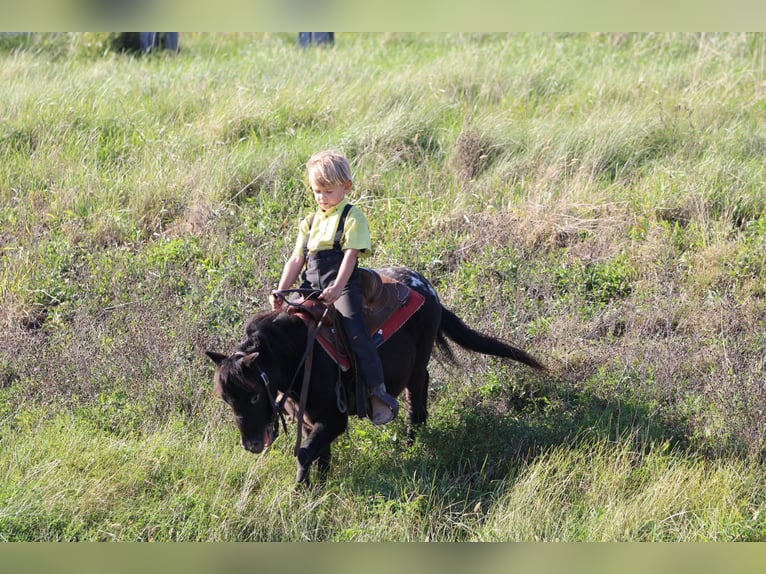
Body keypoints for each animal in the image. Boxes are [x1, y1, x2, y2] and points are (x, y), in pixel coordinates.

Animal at [206, 267, 545, 485]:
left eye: (253, 395)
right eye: (227, 399)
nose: (251, 444)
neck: (299, 355)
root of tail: (427, 289)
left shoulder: (333, 419)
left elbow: (304, 454)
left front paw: (301, 489)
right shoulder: (313, 421)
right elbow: (320, 455)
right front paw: (319, 489)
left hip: (417, 368)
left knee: (416, 401)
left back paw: (410, 444)